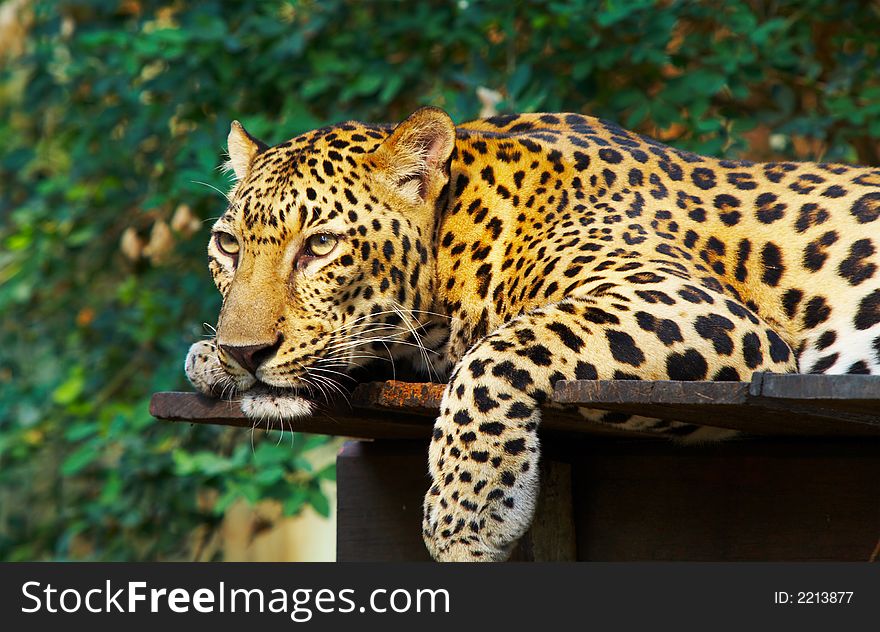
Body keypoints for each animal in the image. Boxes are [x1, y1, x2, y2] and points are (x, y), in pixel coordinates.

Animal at [182, 105, 880, 564]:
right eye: (227, 246)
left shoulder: (699, 308)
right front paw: (207, 356)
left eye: (321, 246)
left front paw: (464, 513)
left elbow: (503, 349)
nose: (244, 352)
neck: (462, 237)